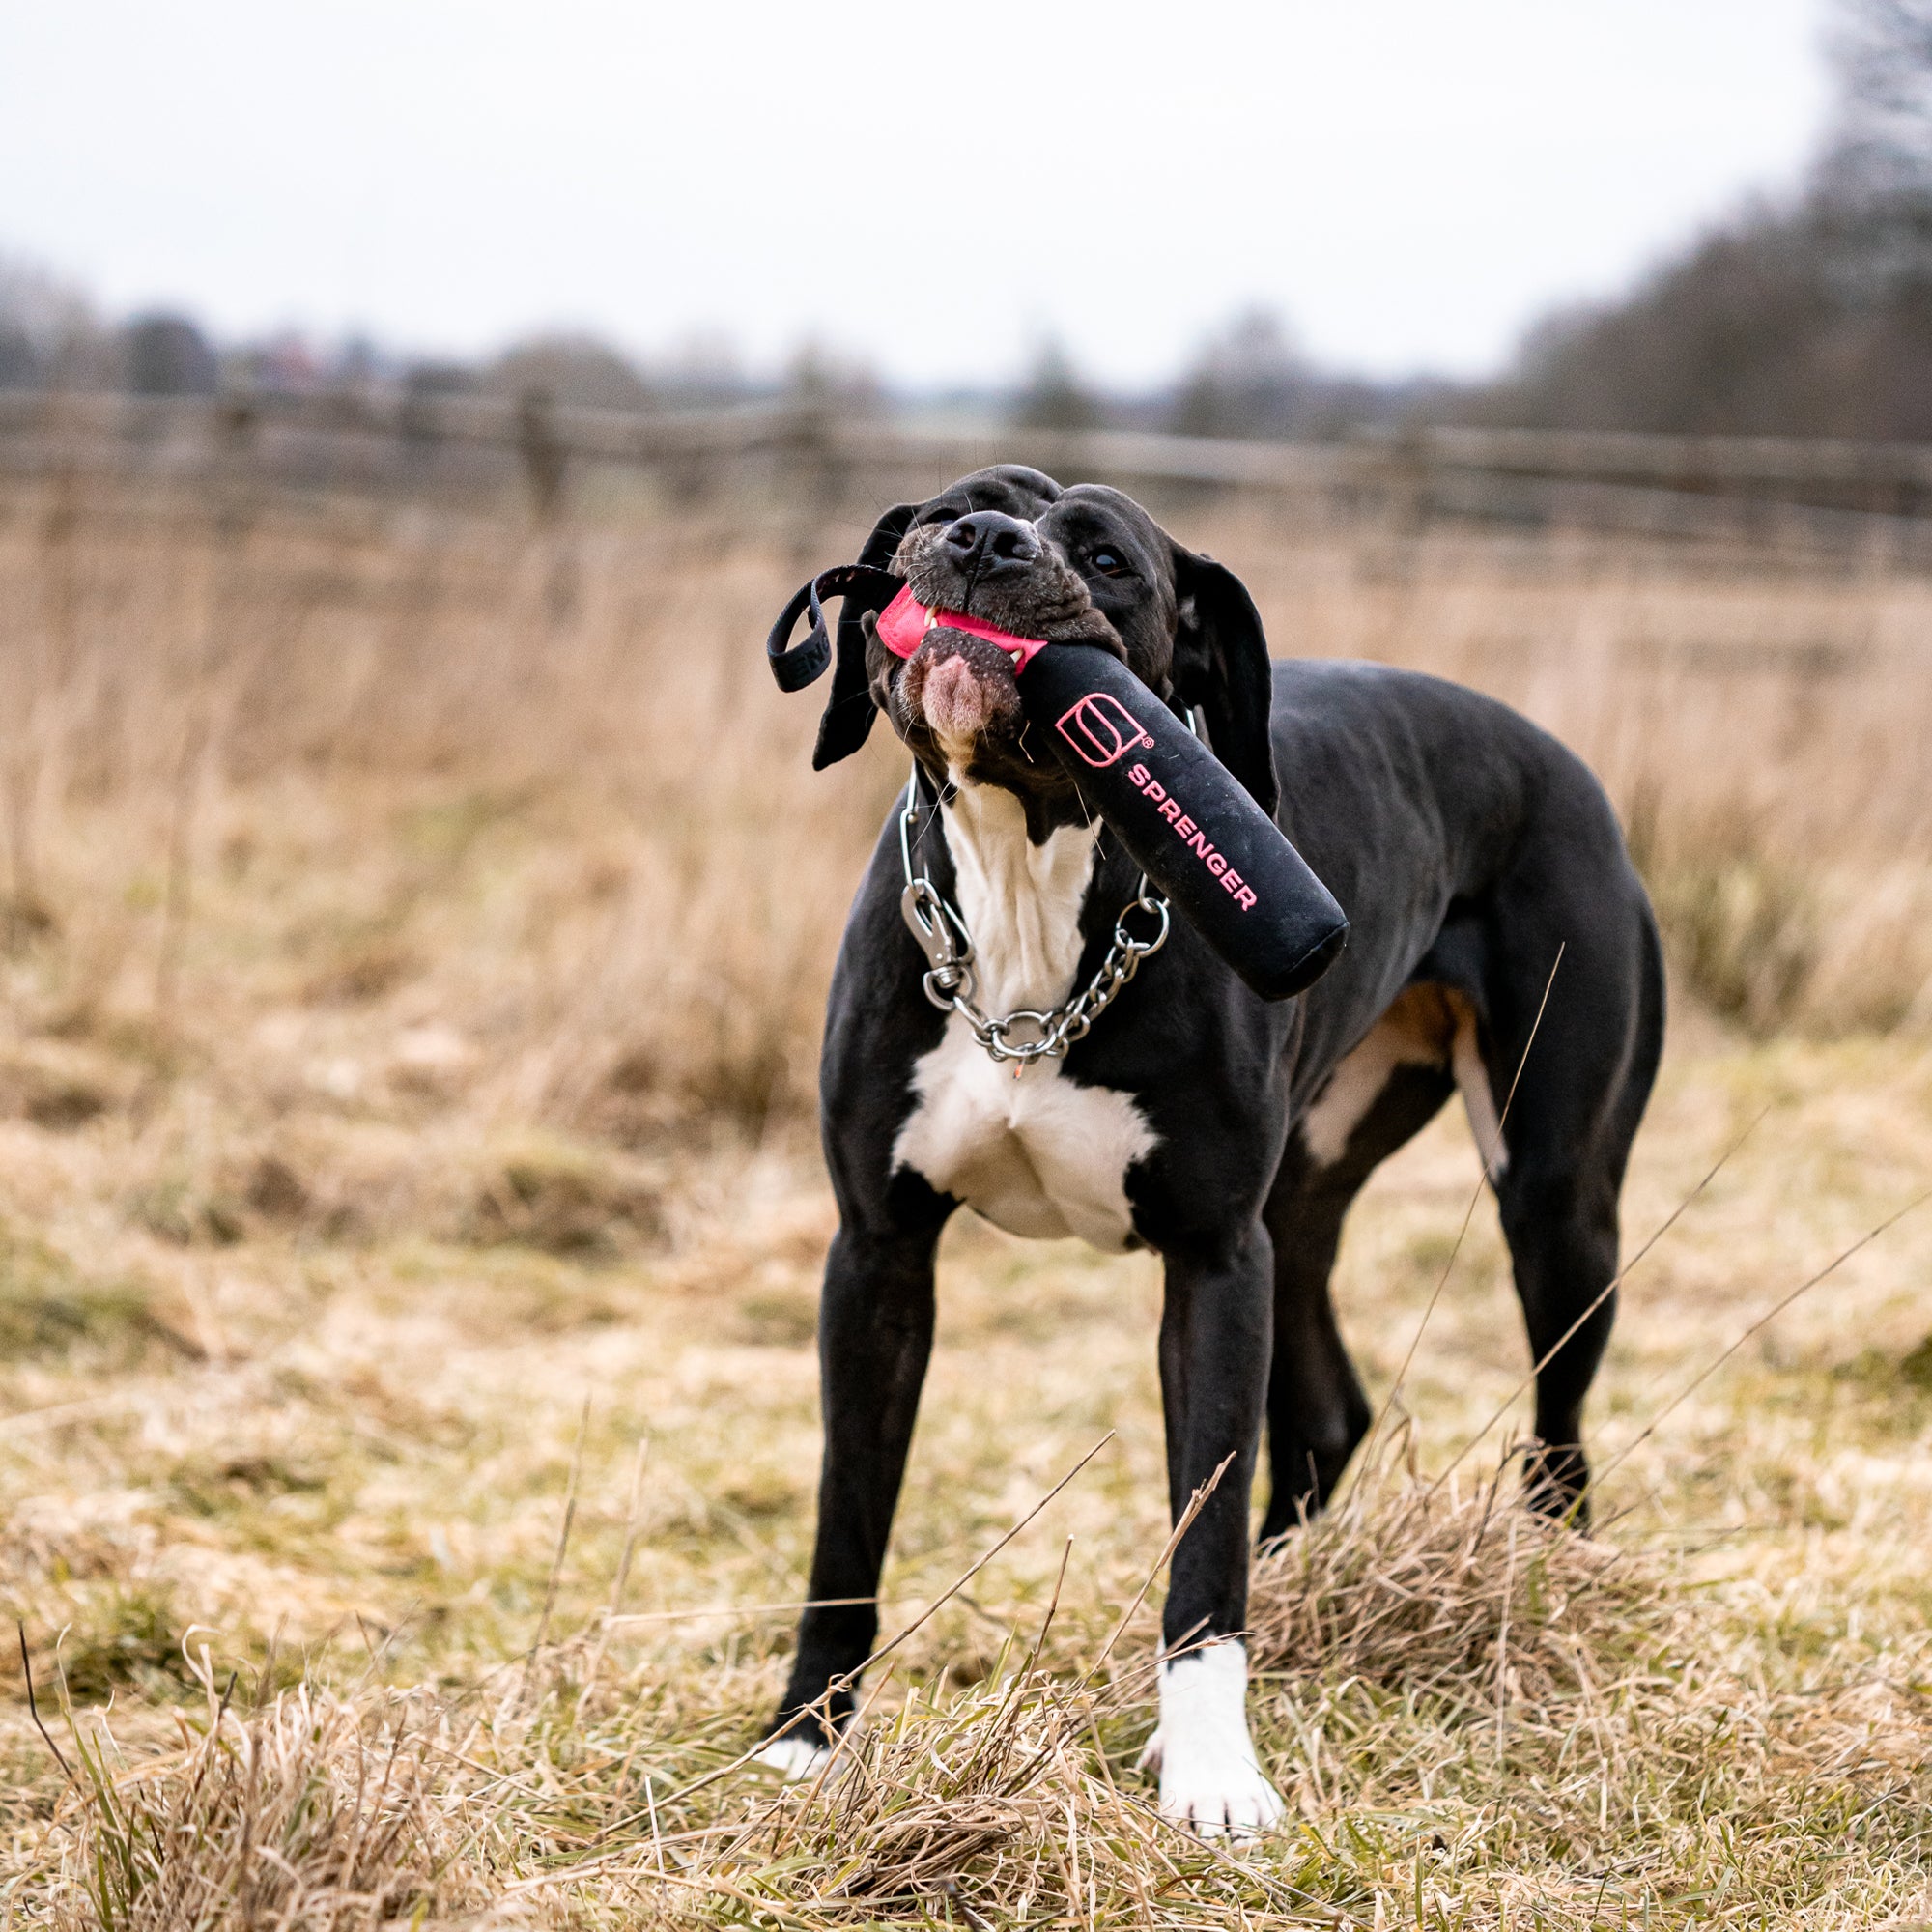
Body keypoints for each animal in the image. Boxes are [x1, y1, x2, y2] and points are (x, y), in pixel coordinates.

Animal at [753, 464, 1662, 1824]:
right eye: (951, 507)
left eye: (1107, 559)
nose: (983, 540)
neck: (1028, 886)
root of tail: (1563, 767)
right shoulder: (877, 1253)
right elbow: (847, 1513)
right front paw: (805, 1739)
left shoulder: (1213, 1263)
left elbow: (1203, 1528)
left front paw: (1211, 1770)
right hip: (1302, 1200)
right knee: (1327, 1413)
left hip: (1554, 1200)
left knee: (1556, 1432)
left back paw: (1538, 1577)